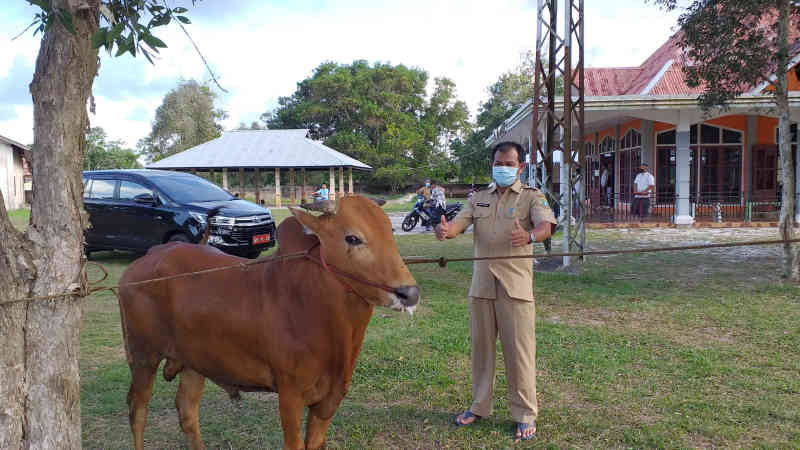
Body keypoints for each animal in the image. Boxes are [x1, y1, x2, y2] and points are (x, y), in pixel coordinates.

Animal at [119, 196, 422, 450]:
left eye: (390, 231)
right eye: (353, 237)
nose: (409, 293)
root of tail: (147, 258)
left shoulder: (329, 399)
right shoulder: (290, 395)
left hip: (195, 362)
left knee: (186, 411)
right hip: (143, 356)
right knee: (137, 410)